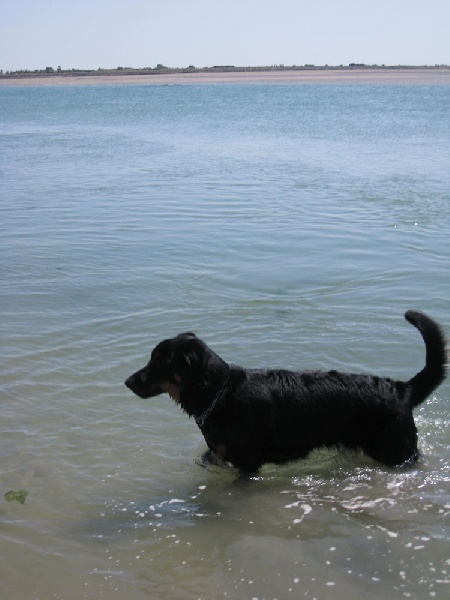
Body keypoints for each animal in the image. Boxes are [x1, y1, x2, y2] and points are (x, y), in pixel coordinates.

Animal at [125, 310, 447, 473]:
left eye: (161, 361)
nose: (128, 381)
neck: (219, 393)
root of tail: (402, 389)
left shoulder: (248, 463)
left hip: (395, 451)